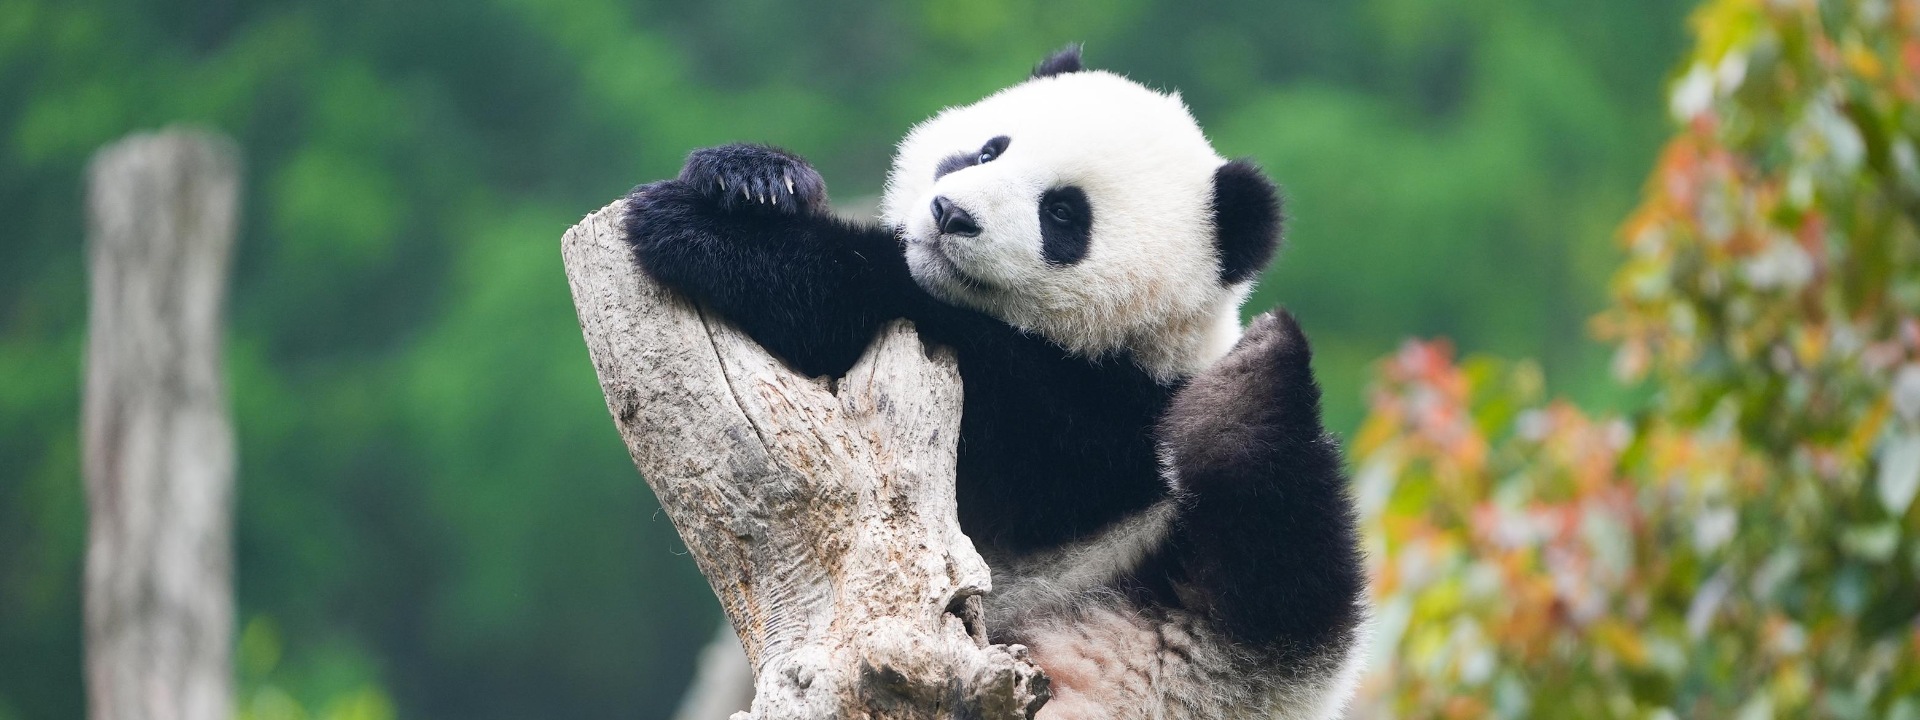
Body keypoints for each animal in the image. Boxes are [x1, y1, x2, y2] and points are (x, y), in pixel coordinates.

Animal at [624, 46, 1367, 720]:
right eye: (988, 150)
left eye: (1063, 213)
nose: (951, 214)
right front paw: (753, 176)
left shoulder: (1107, 432)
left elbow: (942, 348)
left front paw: (709, 234)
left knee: (1281, 566)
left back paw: (1251, 389)